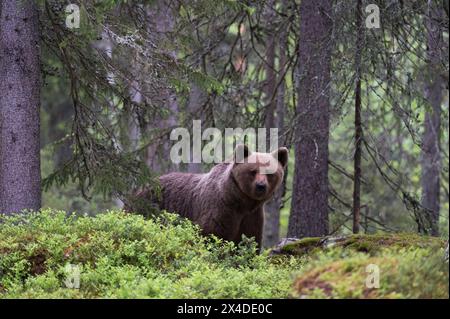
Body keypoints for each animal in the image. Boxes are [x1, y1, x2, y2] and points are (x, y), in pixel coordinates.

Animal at [128, 146, 288, 250]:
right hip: (148, 208)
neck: (240, 201)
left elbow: (249, 241)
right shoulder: (220, 208)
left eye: (270, 173)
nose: (261, 186)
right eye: (253, 171)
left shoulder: (251, 216)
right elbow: (211, 235)